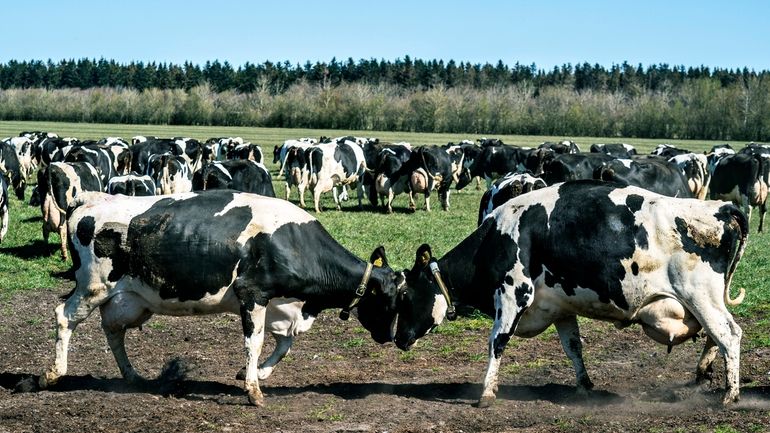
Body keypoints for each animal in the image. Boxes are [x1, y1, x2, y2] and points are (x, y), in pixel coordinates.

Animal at [40, 189, 408, 404]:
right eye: (392, 299)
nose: (394, 339)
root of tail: (89, 199)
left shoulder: (282, 306)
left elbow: (284, 345)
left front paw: (255, 375)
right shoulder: (252, 293)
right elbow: (255, 342)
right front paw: (254, 390)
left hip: (127, 299)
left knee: (113, 331)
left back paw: (131, 376)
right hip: (93, 287)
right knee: (64, 317)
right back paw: (53, 374)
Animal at [390, 181, 744, 406]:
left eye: (405, 296)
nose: (398, 338)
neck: (497, 238)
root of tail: (721, 208)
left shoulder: (512, 295)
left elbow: (497, 343)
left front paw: (486, 394)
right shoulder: (560, 308)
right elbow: (573, 348)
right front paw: (584, 386)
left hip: (700, 296)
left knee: (728, 334)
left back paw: (730, 395)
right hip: (702, 302)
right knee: (718, 335)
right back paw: (705, 374)